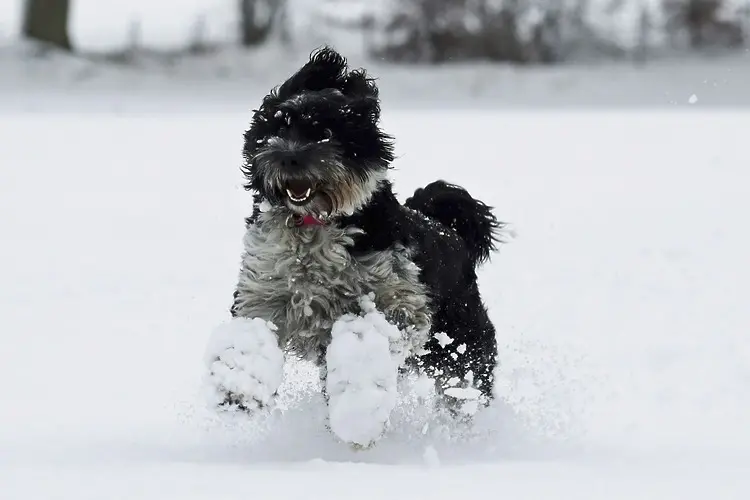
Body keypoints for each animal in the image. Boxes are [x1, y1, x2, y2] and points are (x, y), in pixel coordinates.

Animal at [206, 46, 506, 446]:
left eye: (326, 131)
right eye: (278, 127)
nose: (289, 156)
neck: (314, 226)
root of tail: (451, 231)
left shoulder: (398, 300)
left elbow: (368, 340)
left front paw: (359, 413)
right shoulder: (264, 291)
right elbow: (248, 338)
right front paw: (237, 387)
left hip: (461, 346)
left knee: (465, 388)